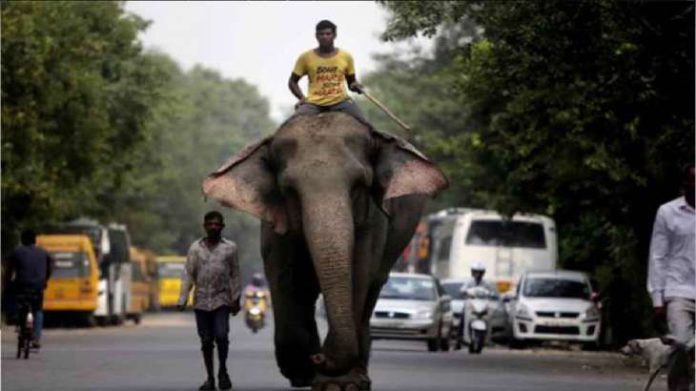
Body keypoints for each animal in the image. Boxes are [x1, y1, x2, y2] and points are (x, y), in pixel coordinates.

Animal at [204, 112, 448, 390]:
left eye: (359, 185)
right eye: (289, 189)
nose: (320, 357)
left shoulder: (374, 221)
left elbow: (358, 274)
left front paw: (338, 383)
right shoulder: (274, 225)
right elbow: (286, 279)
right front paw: (303, 370)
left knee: (373, 288)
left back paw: (359, 376)